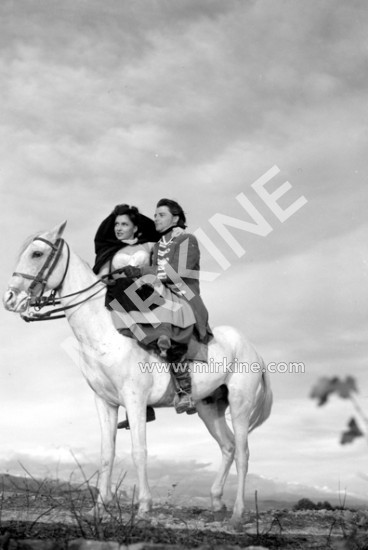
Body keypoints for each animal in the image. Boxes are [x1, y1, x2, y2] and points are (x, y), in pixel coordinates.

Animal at [3, 221, 274, 528]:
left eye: (36, 253)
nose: (10, 298)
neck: (105, 331)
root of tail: (253, 350)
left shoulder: (134, 401)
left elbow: (139, 451)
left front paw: (144, 506)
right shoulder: (105, 403)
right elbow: (106, 453)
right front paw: (99, 508)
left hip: (240, 405)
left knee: (242, 453)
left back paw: (238, 514)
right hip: (209, 407)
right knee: (227, 447)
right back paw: (217, 502)